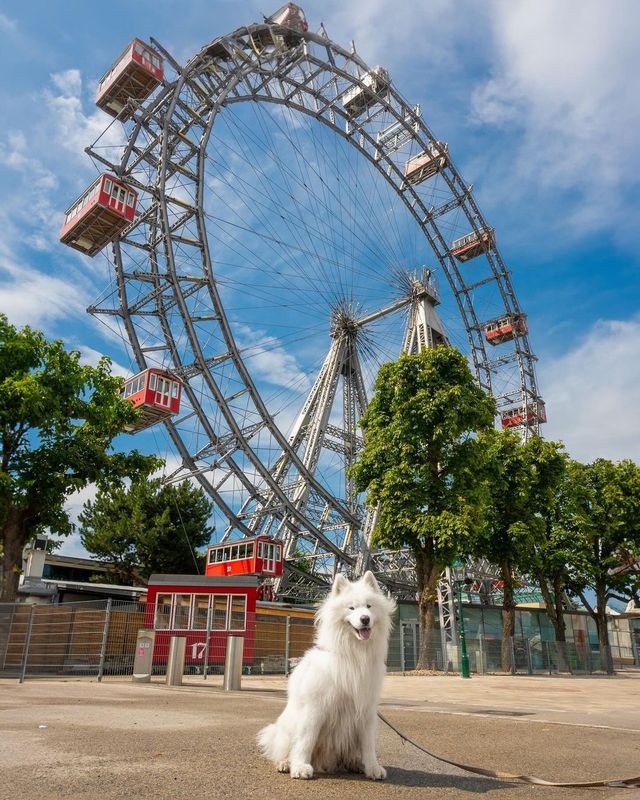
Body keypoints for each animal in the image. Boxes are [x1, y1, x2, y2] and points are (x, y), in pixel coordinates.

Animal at [255, 568, 396, 780]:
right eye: (351, 608)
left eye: (369, 607)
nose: (365, 619)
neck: (353, 655)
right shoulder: (315, 708)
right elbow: (306, 740)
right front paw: (300, 767)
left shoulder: (366, 710)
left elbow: (369, 745)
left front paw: (373, 768)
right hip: (286, 728)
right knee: (284, 749)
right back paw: (286, 763)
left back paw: (356, 764)